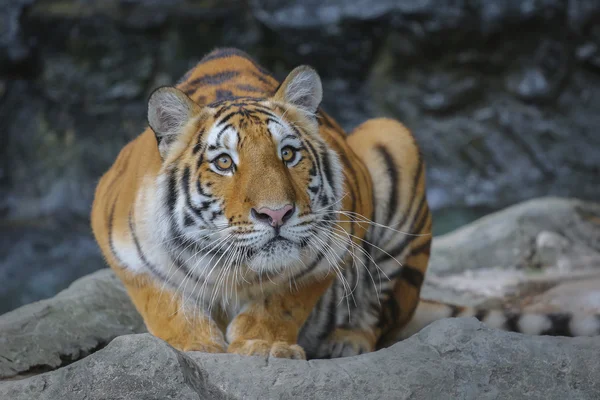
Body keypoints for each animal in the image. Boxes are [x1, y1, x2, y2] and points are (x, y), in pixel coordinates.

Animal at [90, 47, 600, 360]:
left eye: (288, 154)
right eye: (223, 162)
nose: (276, 214)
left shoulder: (328, 245)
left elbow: (283, 300)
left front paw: (264, 344)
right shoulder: (123, 248)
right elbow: (167, 302)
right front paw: (198, 346)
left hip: (392, 143)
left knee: (381, 314)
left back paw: (346, 340)